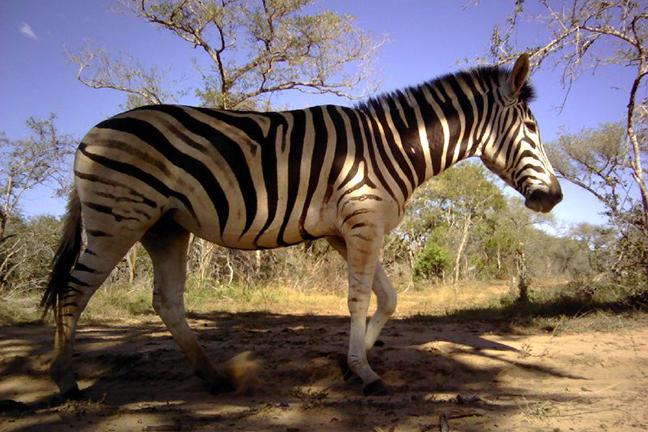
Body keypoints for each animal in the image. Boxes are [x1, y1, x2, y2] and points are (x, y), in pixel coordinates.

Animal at [42, 54, 562, 398]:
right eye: (532, 130)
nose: (554, 198)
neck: (391, 147)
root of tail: (92, 132)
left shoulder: (345, 230)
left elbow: (388, 298)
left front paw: (352, 363)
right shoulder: (362, 222)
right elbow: (359, 300)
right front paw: (364, 373)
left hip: (165, 227)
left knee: (166, 301)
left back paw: (215, 376)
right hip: (118, 219)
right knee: (73, 292)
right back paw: (66, 382)